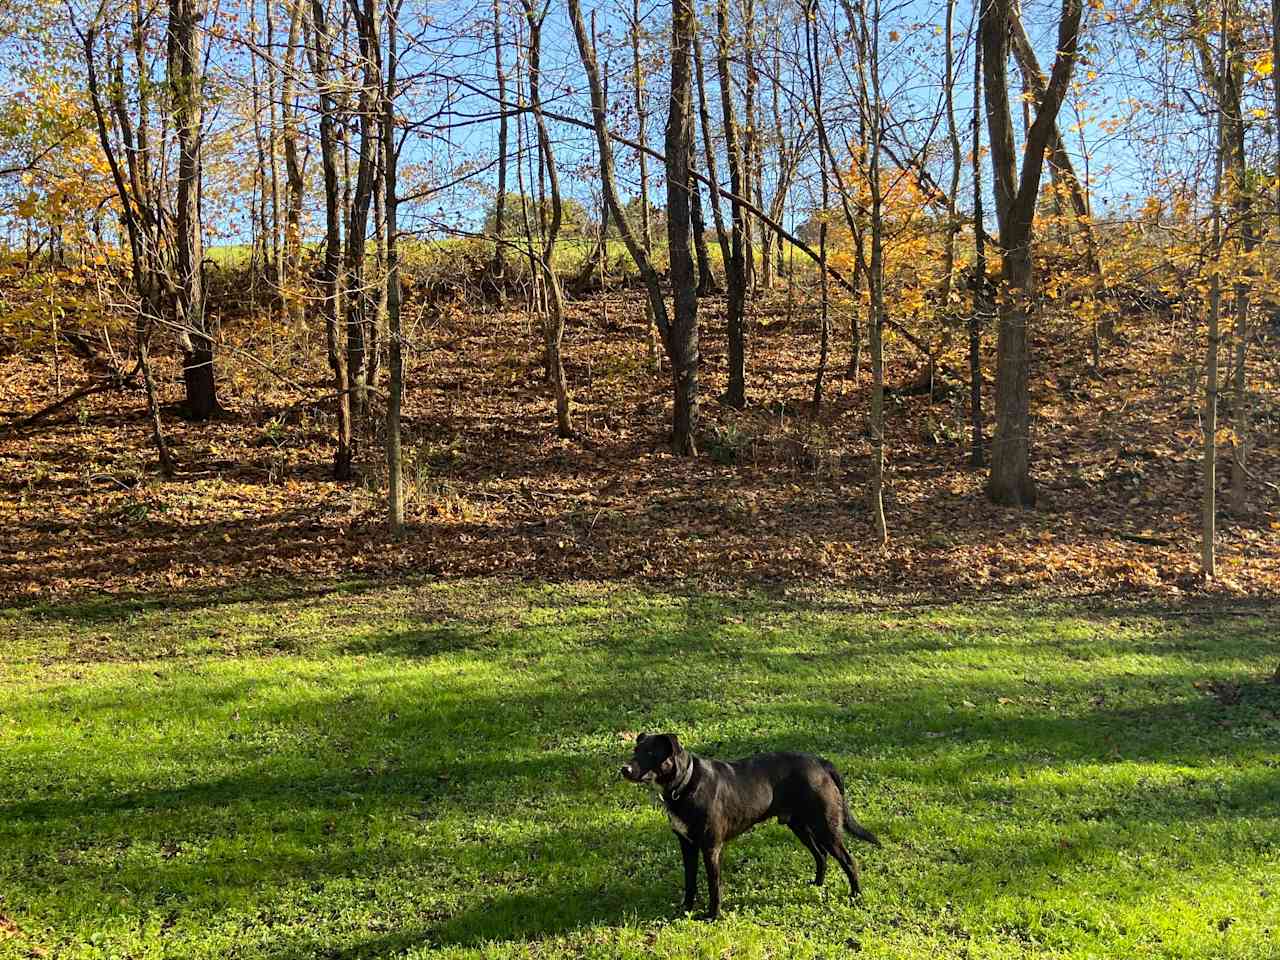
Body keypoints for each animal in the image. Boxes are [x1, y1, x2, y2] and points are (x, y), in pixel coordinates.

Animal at [619, 732, 880, 921]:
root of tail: (821, 762)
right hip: (799, 826)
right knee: (821, 855)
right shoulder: (687, 845)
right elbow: (690, 881)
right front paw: (686, 907)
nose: (625, 769)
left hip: (826, 827)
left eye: (651, 752)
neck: (684, 784)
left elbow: (714, 885)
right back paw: (816, 884)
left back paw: (855, 896)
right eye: (635, 750)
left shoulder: (711, 848)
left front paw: (712, 916)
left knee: (848, 861)